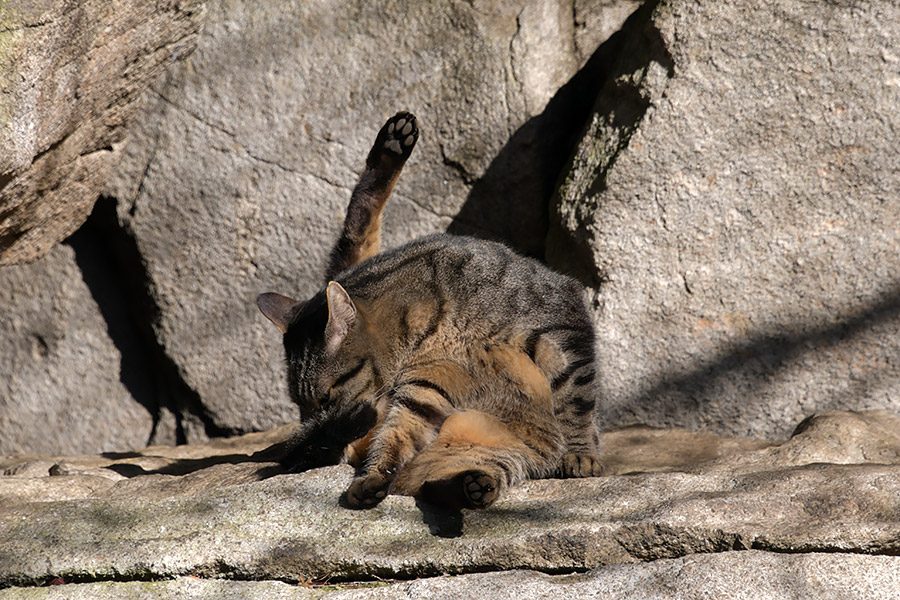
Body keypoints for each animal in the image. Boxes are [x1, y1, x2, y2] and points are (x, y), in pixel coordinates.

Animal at [256, 110, 600, 508]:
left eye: (323, 398)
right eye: (300, 406)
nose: (312, 421)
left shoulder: (560, 321)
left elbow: (577, 396)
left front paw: (581, 453)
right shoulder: (427, 384)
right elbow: (398, 435)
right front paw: (374, 476)